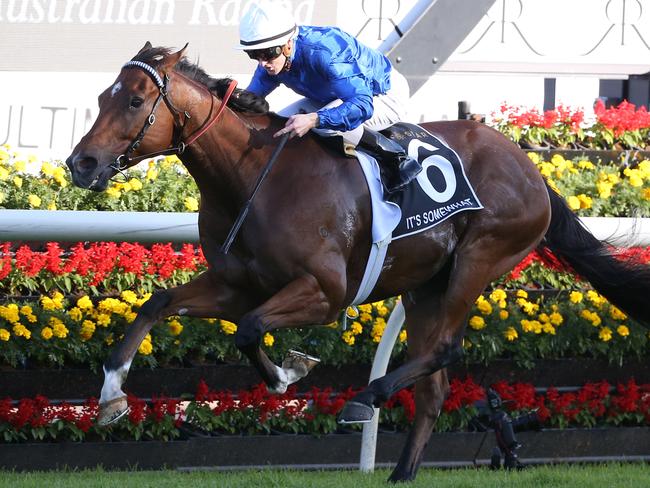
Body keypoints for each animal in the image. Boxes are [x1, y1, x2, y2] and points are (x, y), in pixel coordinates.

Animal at [64, 43, 648, 482]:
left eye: (135, 101)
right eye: (101, 97)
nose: (80, 163)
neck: (253, 178)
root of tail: (529, 166)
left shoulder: (324, 292)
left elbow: (250, 329)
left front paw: (289, 373)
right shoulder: (236, 285)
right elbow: (159, 305)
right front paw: (111, 396)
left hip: (480, 256)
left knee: (444, 349)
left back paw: (366, 397)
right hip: (424, 285)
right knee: (433, 387)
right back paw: (400, 473)